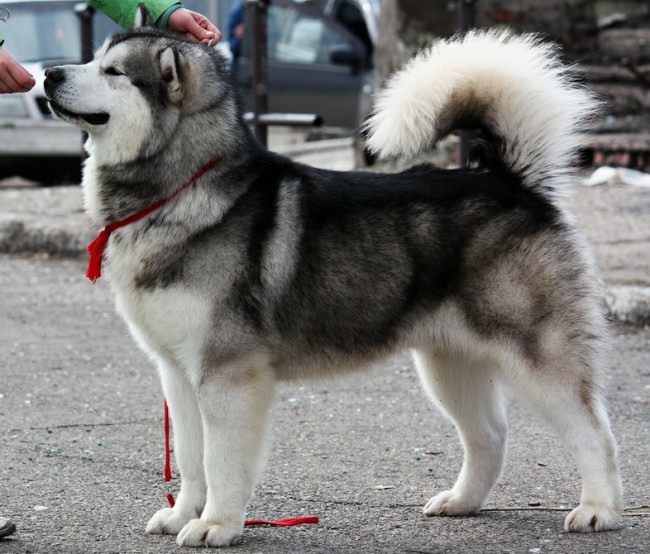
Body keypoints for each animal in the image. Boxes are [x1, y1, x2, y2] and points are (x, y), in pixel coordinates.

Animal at [43, 7, 620, 544]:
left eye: (113, 71)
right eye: (94, 58)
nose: (49, 73)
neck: (180, 189)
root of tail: (510, 182)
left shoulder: (228, 374)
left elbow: (221, 460)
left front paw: (217, 525)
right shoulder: (178, 374)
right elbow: (190, 456)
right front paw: (185, 514)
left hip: (535, 358)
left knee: (593, 430)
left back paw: (599, 509)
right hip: (448, 364)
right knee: (491, 436)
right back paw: (462, 501)